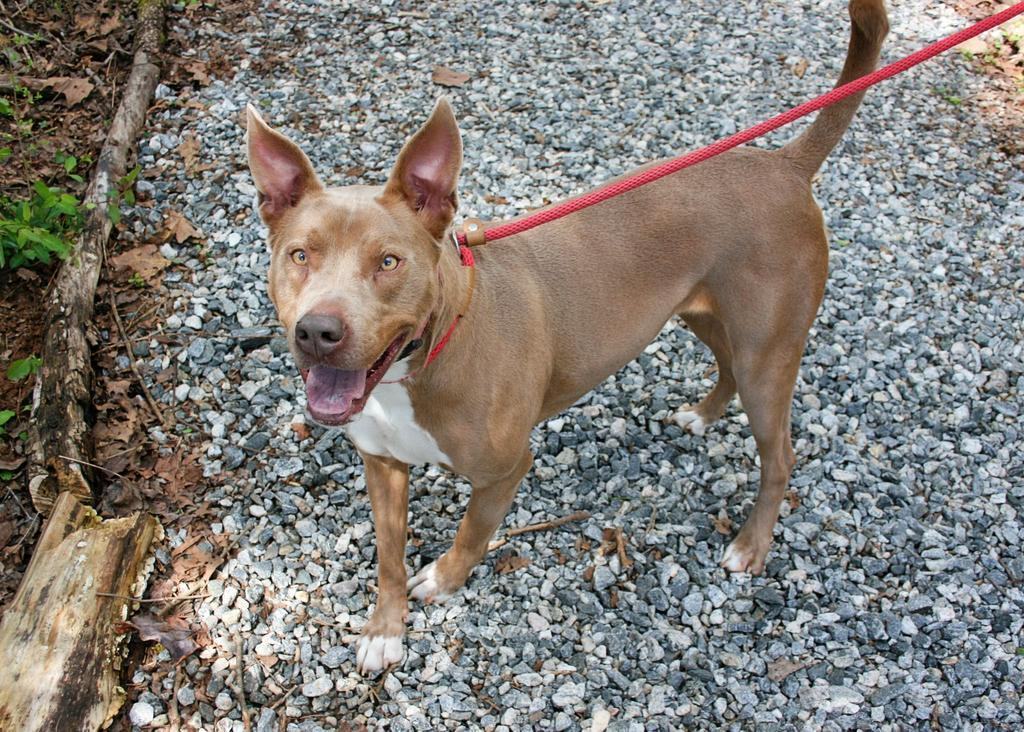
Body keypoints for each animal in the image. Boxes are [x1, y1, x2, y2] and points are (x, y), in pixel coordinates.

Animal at [245, 0, 888, 675]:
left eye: (389, 262)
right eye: (299, 255)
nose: (317, 331)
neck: (425, 359)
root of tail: (781, 163)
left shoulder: (504, 471)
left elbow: (471, 534)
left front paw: (444, 579)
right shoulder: (383, 464)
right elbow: (388, 557)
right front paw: (384, 628)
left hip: (769, 351)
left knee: (779, 455)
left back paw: (751, 544)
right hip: (703, 313)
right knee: (727, 365)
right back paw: (703, 414)